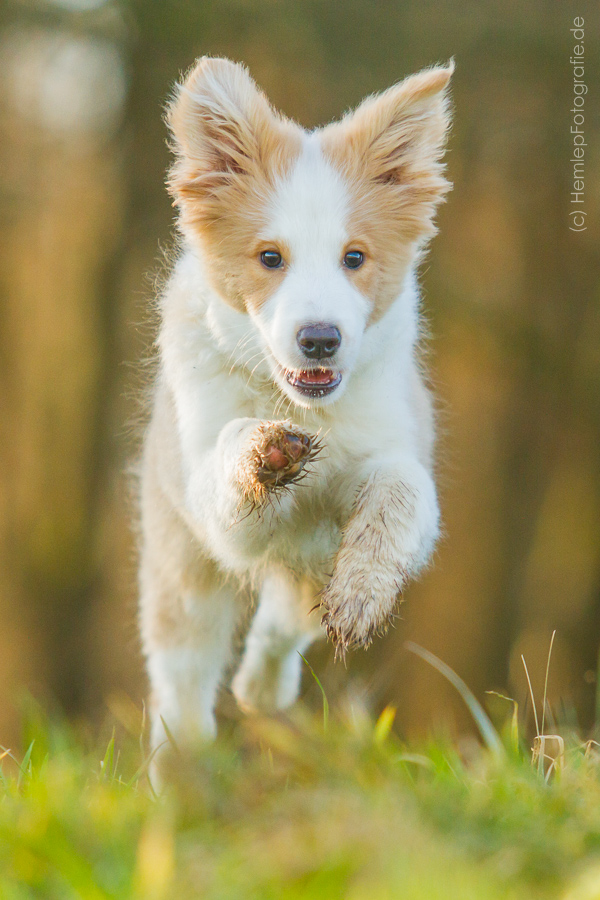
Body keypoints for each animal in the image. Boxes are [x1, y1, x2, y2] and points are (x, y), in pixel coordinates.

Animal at [137, 54, 454, 760]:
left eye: (355, 258)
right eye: (269, 258)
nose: (320, 339)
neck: (304, 408)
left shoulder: (394, 452)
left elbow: (400, 492)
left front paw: (363, 593)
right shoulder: (217, 510)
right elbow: (232, 446)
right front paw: (263, 450)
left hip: (304, 563)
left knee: (286, 621)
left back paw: (262, 689)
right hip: (182, 574)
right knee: (183, 688)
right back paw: (183, 766)